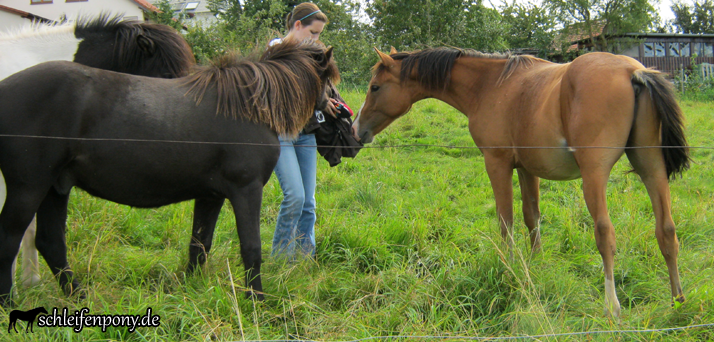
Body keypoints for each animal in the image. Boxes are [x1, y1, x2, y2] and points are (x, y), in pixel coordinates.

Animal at [0, 38, 338, 306]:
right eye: (330, 81)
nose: (337, 109)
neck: (247, 106)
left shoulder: (211, 195)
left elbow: (199, 244)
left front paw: (190, 290)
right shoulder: (246, 189)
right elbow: (251, 248)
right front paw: (256, 299)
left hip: (55, 187)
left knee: (50, 242)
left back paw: (80, 296)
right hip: (29, 187)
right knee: (11, 239)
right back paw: (9, 303)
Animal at [354, 46, 688, 316]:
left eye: (375, 87)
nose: (357, 129)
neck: (491, 85)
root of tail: (633, 72)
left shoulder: (497, 163)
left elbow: (506, 220)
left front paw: (507, 268)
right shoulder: (528, 169)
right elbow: (532, 218)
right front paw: (536, 265)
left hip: (594, 177)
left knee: (605, 234)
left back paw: (612, 306)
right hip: (652, 169)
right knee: (667, 231)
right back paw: (678, 301)